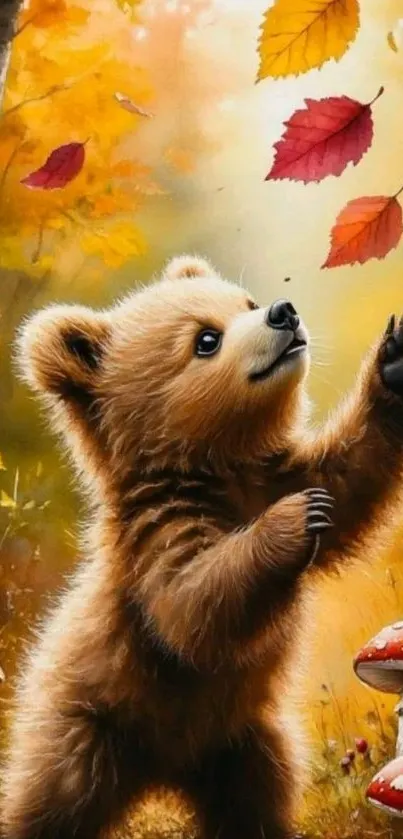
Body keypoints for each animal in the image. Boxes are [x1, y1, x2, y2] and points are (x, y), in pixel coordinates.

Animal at [3, 254, 403, 839]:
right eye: (205, 340)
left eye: (245, 302)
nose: (282, 312)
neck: (218, 467)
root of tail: (161, 773)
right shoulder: (157, 536)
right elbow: (190, 603)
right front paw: (293, 519)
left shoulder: (274, 474)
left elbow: (349, 478)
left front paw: (392, 364)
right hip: (83, 730)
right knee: (46, 804)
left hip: (245, 746)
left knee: (255, 809)